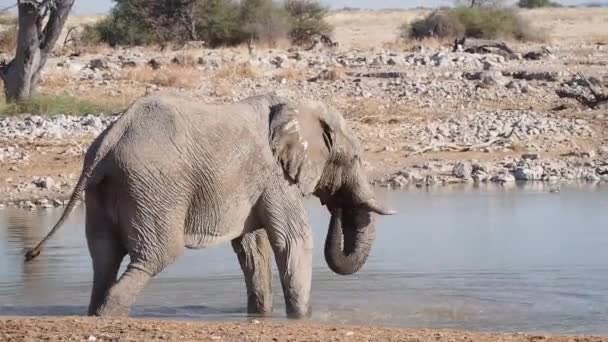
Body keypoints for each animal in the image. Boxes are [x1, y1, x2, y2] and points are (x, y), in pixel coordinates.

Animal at [25, 93, 394, 318]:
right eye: (356, 158)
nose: (336, 206)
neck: (296, 106)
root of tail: (110, 139)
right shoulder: (276, 177)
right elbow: (293, 241)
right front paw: (302, 319)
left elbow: (252, 248)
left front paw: (261, 316)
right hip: (153, 187)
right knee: (157, 255)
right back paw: (110, 314)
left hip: (104, 191)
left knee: (104, 259)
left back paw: (96, 314)